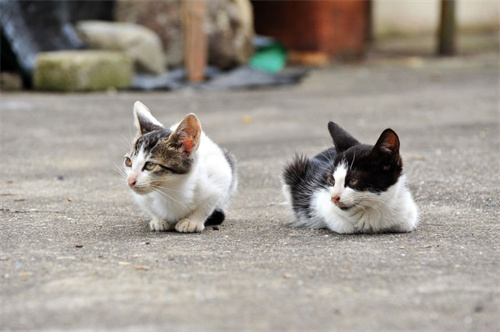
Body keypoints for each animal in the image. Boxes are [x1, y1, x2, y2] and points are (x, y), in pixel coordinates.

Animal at [123, 101, 236, 233]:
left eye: (150, 165)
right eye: (128, 162)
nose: (130, 181)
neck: (169, 188)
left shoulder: (220, 175)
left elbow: (208, 202)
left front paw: (192, 221)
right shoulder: (143, 199)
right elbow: (150, 208)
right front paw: (159, 220)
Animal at [282, 122, 418, 233]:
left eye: (353, 180)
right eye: (332, 180)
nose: (334, 198)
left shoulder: (407, 210)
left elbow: (405, 224)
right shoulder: (319, 198)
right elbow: (342, 225)